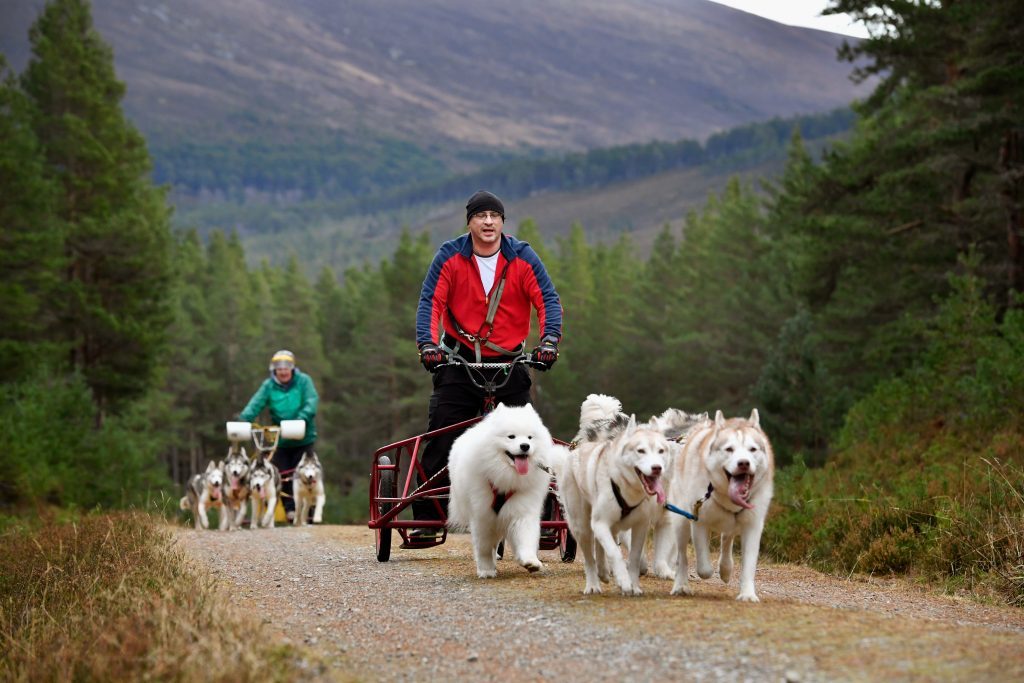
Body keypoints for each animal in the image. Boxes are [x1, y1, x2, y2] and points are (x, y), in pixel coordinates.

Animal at [450, 403, 561, 581]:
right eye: (511, 437)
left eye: (530, 437)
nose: (525, 446)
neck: (505, 477)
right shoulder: (482, 515)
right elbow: (484, 547)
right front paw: (486, 570)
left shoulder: (522, 509)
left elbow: (525, 536)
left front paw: (530, 562)